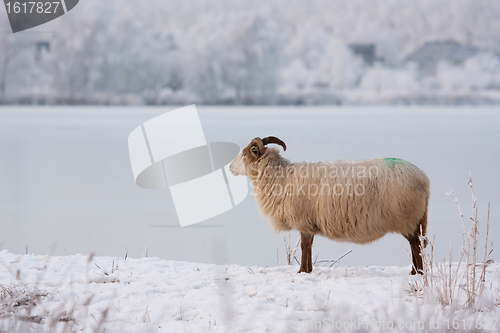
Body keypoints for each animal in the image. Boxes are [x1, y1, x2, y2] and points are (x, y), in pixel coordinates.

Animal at [230, 135, 430, 272]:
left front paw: (302, 271)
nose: (230, 168)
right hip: (415, 220)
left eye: (245, 153)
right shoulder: (309, 223)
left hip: (408, 218)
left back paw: (417, 273)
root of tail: (423, 177)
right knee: (417, 244)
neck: (282, 177)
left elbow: (304, 247)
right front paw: (308, 270)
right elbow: (309, 246)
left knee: (416, 245)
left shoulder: (303, 221)